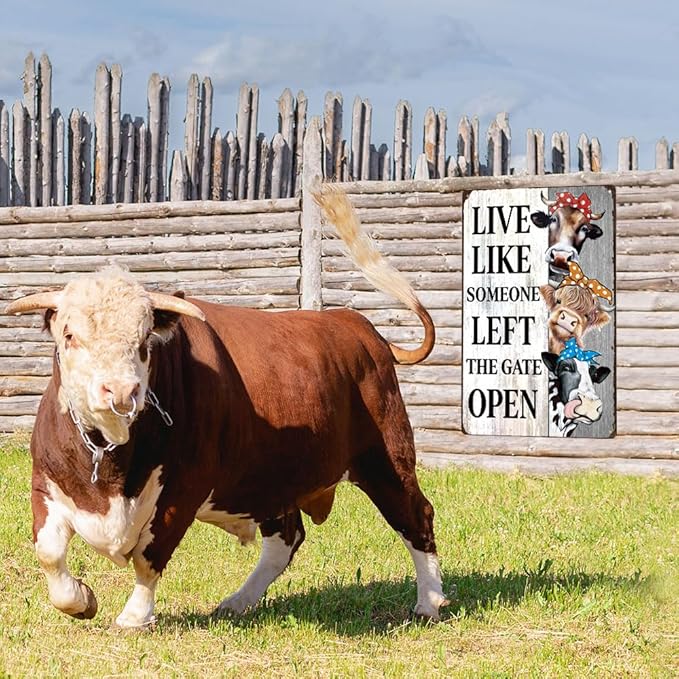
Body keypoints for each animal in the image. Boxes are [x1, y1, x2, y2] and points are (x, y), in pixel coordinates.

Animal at [5, 187, 449, 628]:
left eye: (145, 339)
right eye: (69, 335)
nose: (120, 391)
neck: (110, 468)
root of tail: (359, 328)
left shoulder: (182, 492)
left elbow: (150, 556)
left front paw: (134, 616)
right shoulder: (45, 481)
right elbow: (49, 552)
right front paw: (81, 600)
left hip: (386, 457)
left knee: (417, 517)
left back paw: (429, 601)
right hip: (271, 478)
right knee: (287, 538)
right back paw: (238, 601)